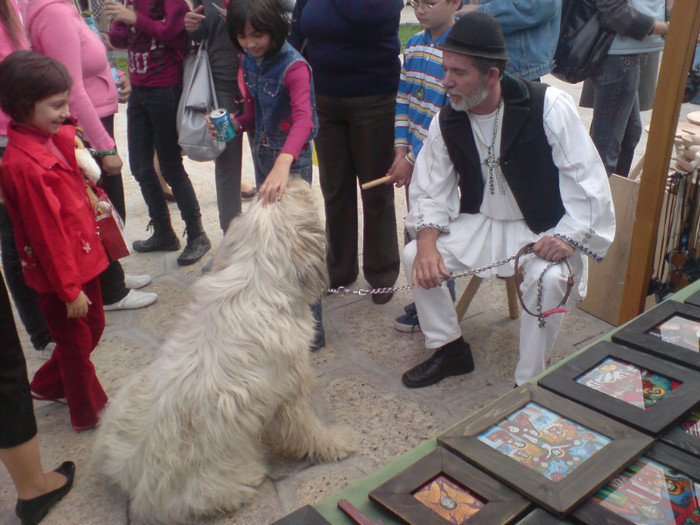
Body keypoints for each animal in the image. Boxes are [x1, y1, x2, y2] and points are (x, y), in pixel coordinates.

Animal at [91, 179, 356, 520]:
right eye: (288, 193)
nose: (294, 176)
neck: (256, 282)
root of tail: (136, 482)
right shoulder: (288, 393)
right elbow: (306, 430)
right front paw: (335, 443)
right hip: (225, 479)